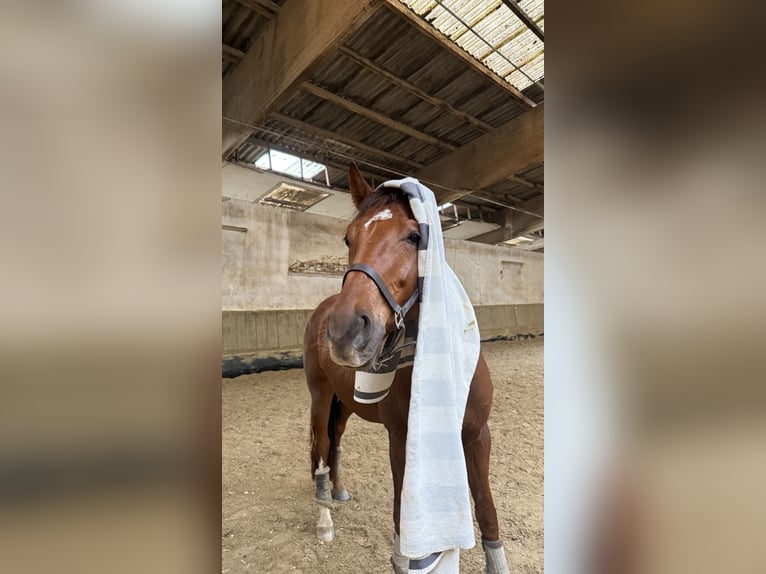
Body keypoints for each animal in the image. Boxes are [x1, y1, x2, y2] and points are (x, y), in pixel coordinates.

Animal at [303, 165, 510, 573]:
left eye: (415, 236)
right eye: (348, 238)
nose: (345, 331)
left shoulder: (477, 434)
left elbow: (485, 507)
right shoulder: (402, 440)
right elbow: (404, 524)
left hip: (343, 404)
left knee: (335, 444)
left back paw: (339, 490)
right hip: (320, 396)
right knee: (321, 448)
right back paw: (324, 519)